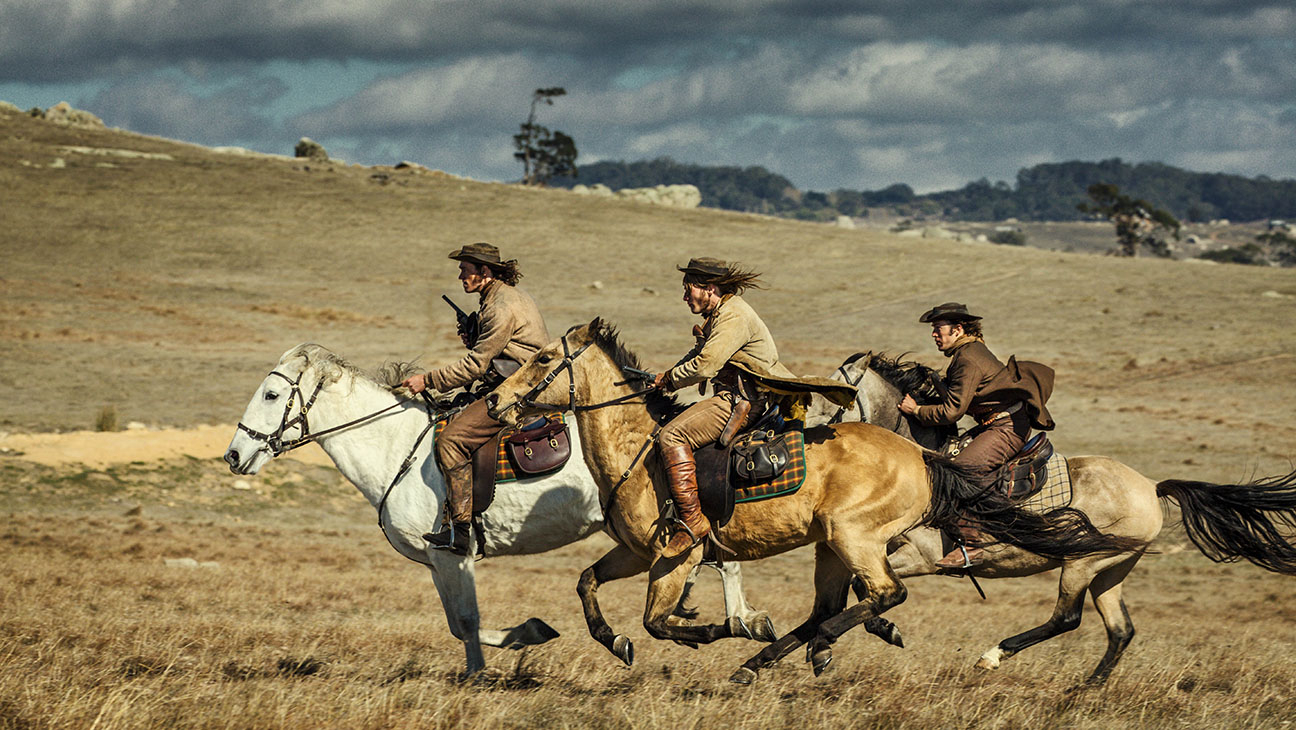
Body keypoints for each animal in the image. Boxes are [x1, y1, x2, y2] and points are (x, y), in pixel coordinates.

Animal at [222, 344, 772, 679]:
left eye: (272, 394)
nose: (233, 455)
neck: (396, 447)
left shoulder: (453, 555)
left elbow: (466, 621)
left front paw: (486, 667)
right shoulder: (437, 562)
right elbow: (457, 623)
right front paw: (513, 644)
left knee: (717, 557)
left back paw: (742, 626)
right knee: (718, 558)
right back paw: (740, 622)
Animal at [482, 321, 1140, 684]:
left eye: (544, 359)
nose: (495, 403)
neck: (640, 451)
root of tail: (920, 457)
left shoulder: (678, 555)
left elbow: (659, 621)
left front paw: (722, 630)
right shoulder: (640, 554)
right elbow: (589, 587)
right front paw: (616, 642)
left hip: (856, 539)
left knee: (882, 596)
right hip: (833, 547)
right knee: (835, 605)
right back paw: (769, 661)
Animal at [803, 352, 1296, 684]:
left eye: (830, 399)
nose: (806, 438)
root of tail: (1152, 486)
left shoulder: (921, 557)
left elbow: (867, 592)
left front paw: (865, 636)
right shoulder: (875, 545)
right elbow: (858, 590)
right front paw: (844, 640)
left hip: (1083, 564)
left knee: (1067, 619)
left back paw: (994, 656)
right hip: (1111, 571)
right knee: (1120, 630)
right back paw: (1087, 689)